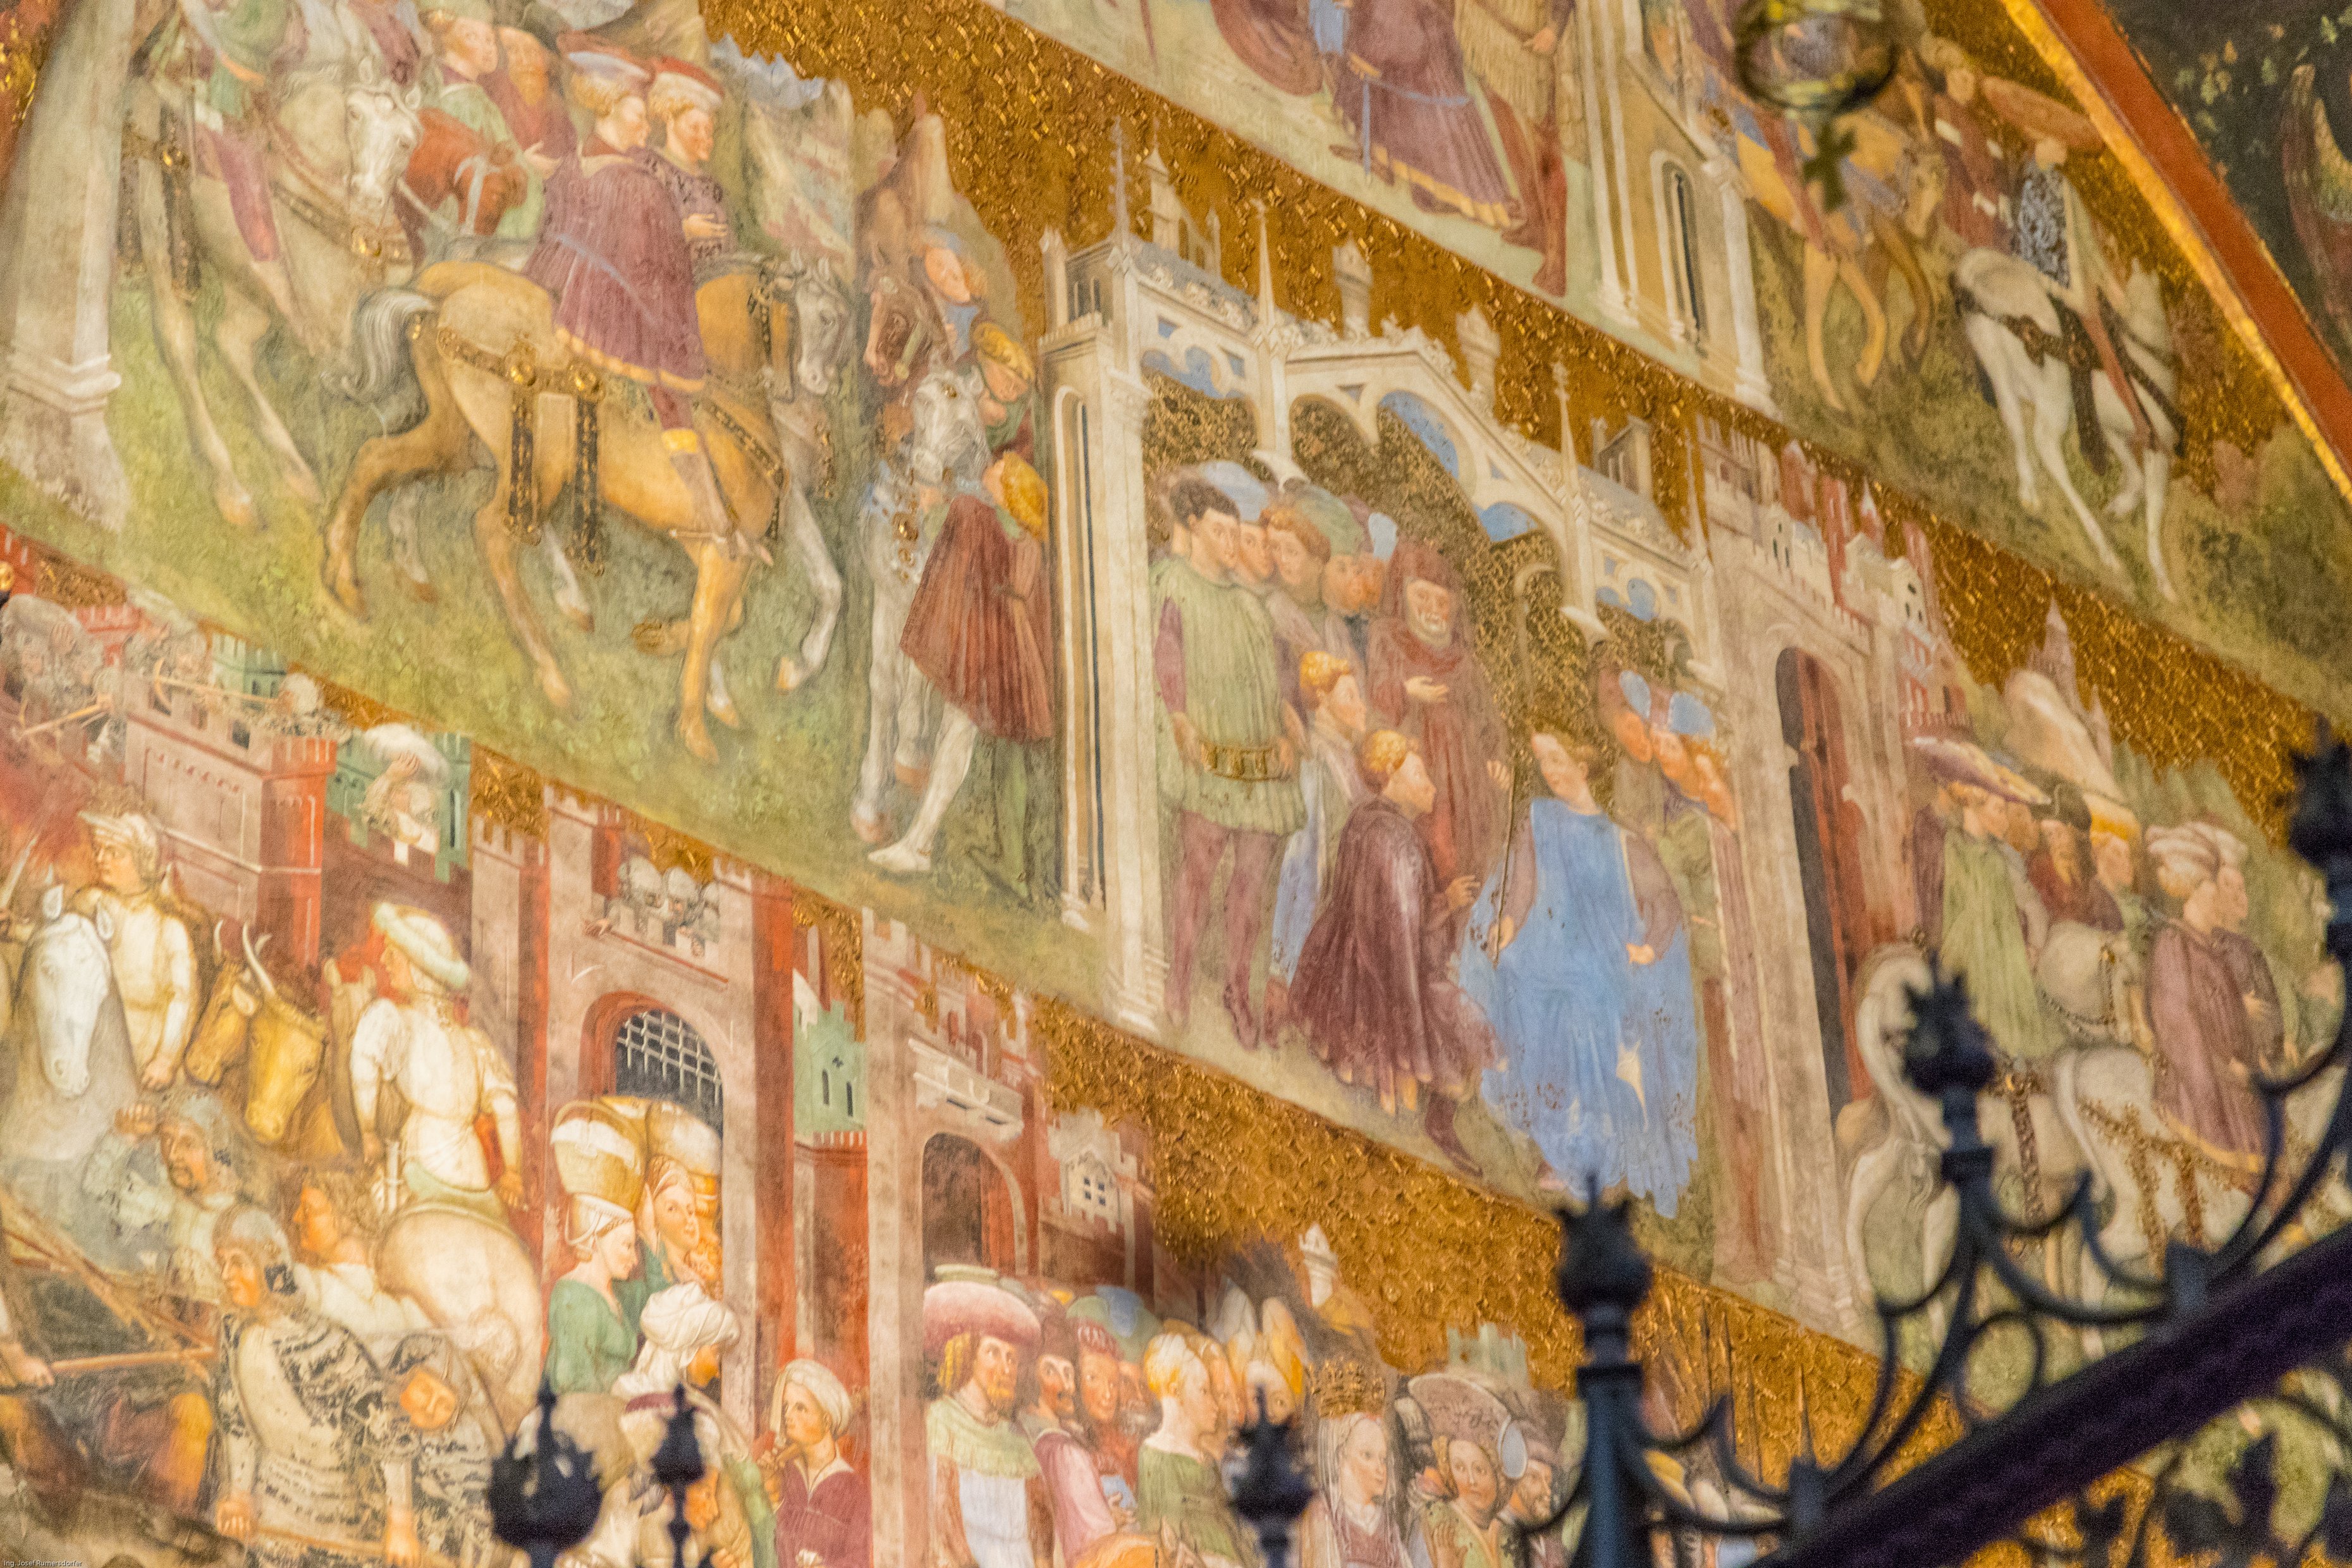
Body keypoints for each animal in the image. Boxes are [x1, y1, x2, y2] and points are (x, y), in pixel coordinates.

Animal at [122, 55, 421, 530]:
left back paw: (296, 474)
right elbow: (377, 395)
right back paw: (233, 492)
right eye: (354, 115)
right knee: (179, 343)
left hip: (247, 286)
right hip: (160, 240)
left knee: (232, 345)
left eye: (406, 142)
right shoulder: (333, 343)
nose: (368, 196)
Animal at [322, 255, 814, 763]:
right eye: (793, 318)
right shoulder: (726, 553)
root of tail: (447, 293)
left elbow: (724, 619)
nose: (791, 387)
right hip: (540, 468)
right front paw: (696, 733)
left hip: (454, 438)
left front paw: (656, 638)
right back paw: (553, 677)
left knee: (373, 459)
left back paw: (345, 579)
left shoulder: (707, 546)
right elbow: (710, 627)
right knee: (491, 534)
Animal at [849, 363, 990, 849]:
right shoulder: (891, 599)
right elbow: (884, 686)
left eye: (953, 394)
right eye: (922, 391)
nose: (979, 454)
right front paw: (871, 803)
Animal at [1951, 249, 2180, 592]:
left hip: (1997, 364)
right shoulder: (2157, 446)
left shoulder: (2111, 430)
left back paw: (2029, 489)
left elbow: (2134, 476)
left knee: (2014, 423)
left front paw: (2119, 506)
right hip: (2056, 399)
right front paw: (2164, 582)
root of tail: (1982, 284)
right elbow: (2155, 512)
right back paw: (2103, 548)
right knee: (2047, 446)